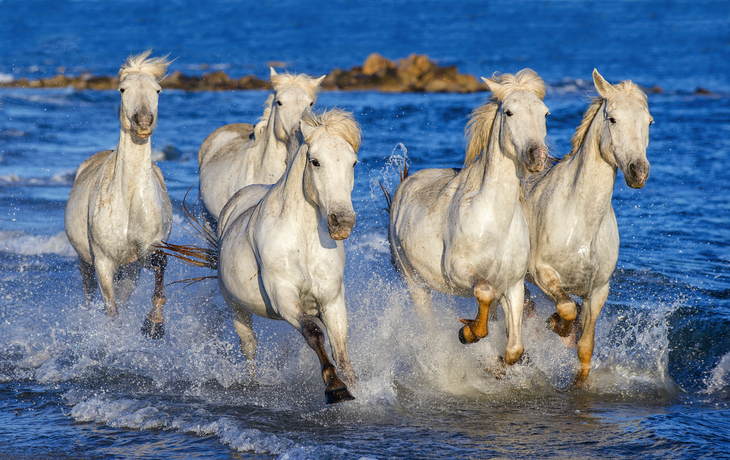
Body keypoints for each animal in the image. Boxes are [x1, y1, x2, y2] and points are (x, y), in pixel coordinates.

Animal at [64, 51, 173, 339]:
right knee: (90, 294)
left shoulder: (146, 252)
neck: (129, 199)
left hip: (129, 271)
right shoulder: (103, 261)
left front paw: (154, 325)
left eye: (157, 90)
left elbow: (160, 265)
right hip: (85, 263)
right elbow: (111, 311)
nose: (143, 122)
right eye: (122, 89)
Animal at [161, 108, 361, 404]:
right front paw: (334, 388)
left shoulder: (331, 300)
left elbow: (341, 347)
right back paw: (251, 383)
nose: (342, 222)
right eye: (315, 162)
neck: (303, 241)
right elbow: (314, 333)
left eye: (353, 163)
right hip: (235, 306)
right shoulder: (283, 295)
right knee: (249, 346)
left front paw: (351, 386)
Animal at [388, 69, 549, 366]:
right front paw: (468, 333)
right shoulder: (458, 270)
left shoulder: (513, 285)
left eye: (545, 113)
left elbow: (514, 349)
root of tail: (405, 183)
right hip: (415, 285)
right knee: (429, 329)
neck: (494, 222)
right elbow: (483, 291)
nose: (538, 156)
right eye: (509, 112)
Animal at [522, 69, 652, 386]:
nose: (638, 172)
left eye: (649, 121)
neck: (581, 224)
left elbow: (585, 347)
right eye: (612, 119)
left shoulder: (598, 291)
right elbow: (567, 309)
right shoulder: (542, 273)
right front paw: (558, 326)